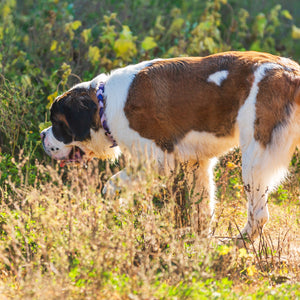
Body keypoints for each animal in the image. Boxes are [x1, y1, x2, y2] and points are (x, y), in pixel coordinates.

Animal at [40, 51, 300, 244]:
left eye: (58, 124)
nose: (42, 135)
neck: (105, 103)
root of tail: (293, 75)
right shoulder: (197, 164)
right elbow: (201, 208)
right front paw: (196, 239)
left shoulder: (157, 161)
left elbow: (110, 186)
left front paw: (117, 209)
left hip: (254, 159)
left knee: (259, 214)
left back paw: (236, 243)